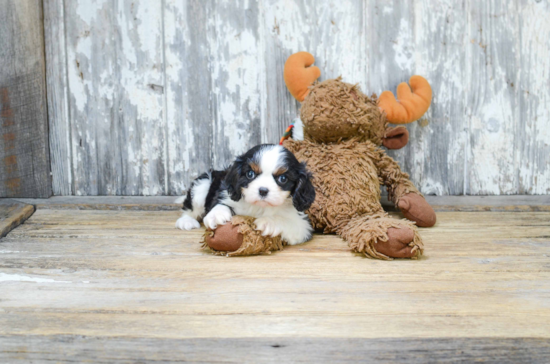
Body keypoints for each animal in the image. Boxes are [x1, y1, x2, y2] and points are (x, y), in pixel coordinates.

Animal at [177, 144, 314, 245]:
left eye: (283, 178)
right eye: (250, 174)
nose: (263, 190)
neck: (258, 207)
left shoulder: (303, 225)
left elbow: (287, 221)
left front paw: (269, 222)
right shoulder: (225, 194)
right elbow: (221, 204)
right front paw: (216, 215)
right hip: (203, 184)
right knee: (190, 208)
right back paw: (186, 221)